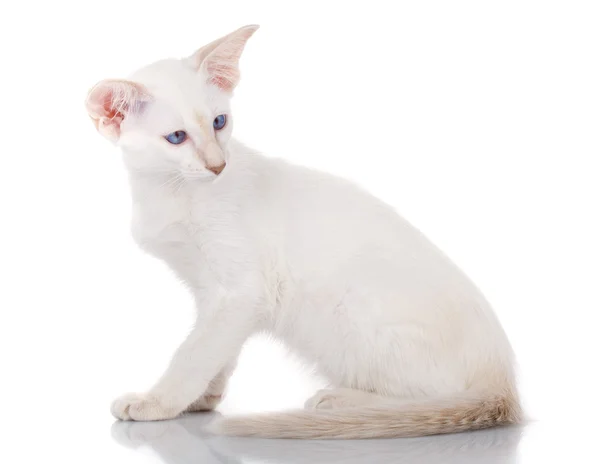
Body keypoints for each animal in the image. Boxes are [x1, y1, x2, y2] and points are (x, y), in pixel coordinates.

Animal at [84, 24, 520, 438]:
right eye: (177, 138)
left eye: (219, 122)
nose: (217, 165)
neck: (169, 191)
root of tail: (505, 385)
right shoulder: (214, 294)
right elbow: (215, 351)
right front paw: (203, 398)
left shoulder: (241, 291)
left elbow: (192, 354)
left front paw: (157, 403)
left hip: (347, 309)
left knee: (430, 399)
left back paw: (339, 401)